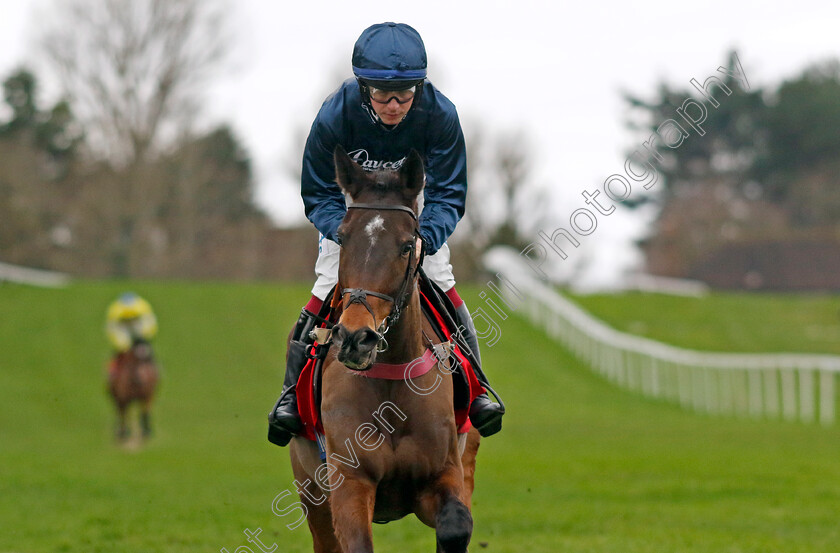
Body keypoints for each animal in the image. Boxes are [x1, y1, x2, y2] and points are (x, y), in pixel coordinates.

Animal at [288, 144, 482, 548]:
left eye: (408, 245)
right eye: (343, 238)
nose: (355, 338)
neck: (391, 381)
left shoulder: (443, 474)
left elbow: (456, 524)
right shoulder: (348, 483)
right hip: (309, 488)